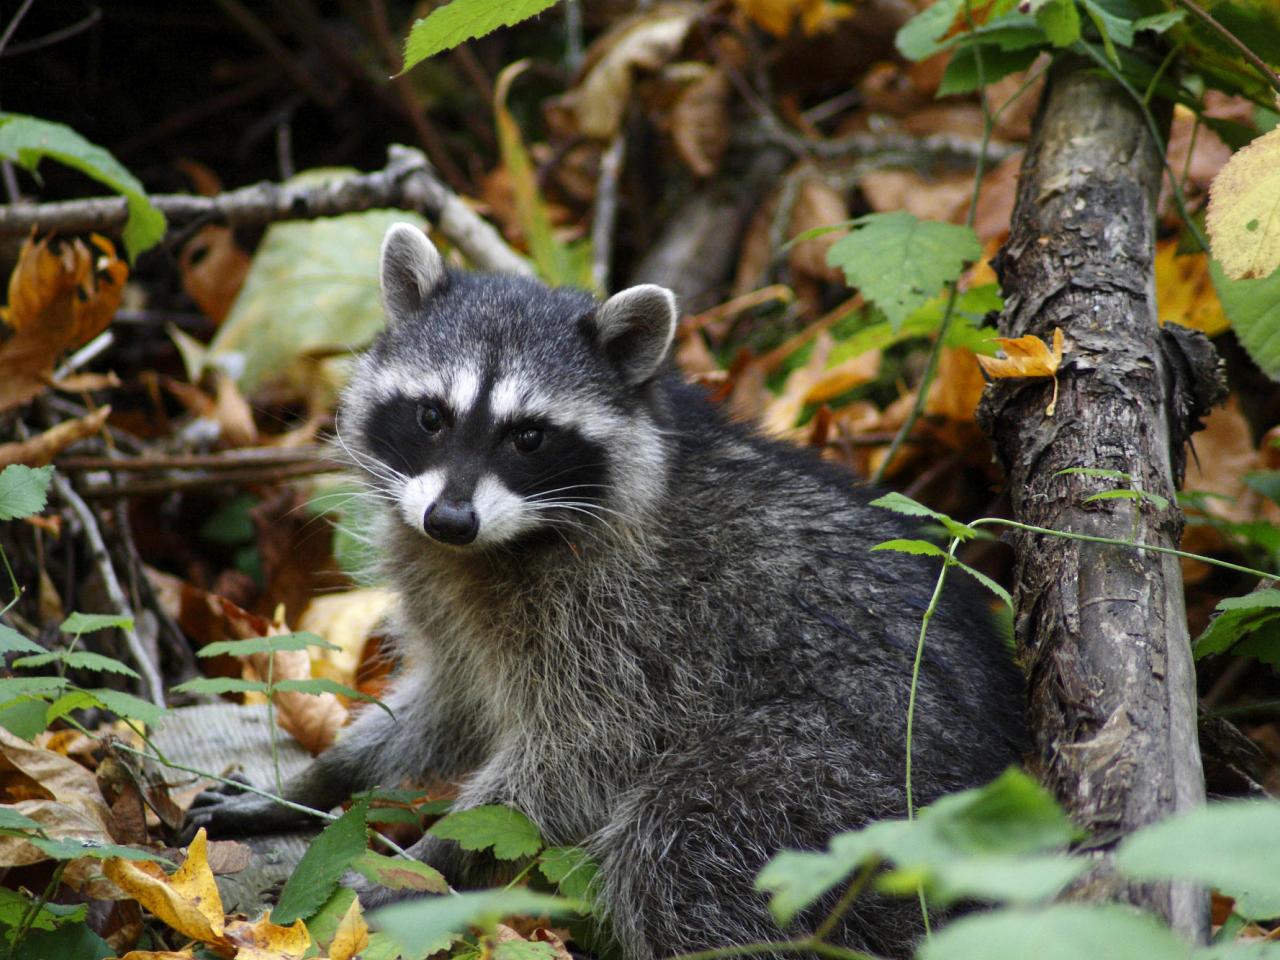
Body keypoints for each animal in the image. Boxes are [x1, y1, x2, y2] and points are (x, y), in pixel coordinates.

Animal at [189, 224, 1024, 957]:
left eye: (528, 436)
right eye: (431, 416)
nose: (450, 519)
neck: (499, 546)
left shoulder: (632, 627)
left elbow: (575, 761)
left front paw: (427, 860)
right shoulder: (456, 604)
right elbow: (448, 707)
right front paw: (324, 772)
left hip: (838, 784)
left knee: (676, 844)